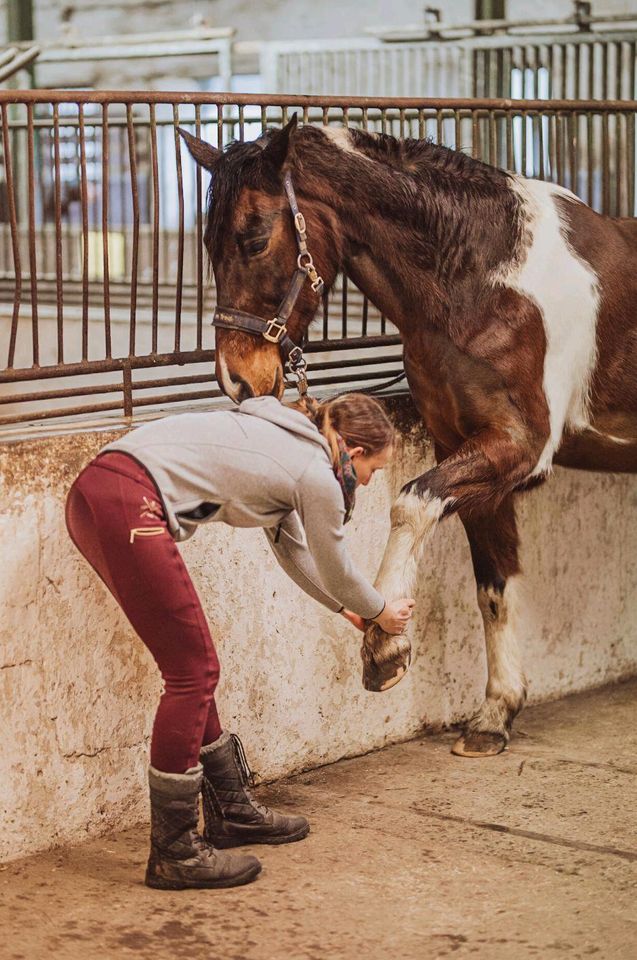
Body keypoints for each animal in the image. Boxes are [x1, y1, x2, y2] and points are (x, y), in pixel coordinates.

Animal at [178, 114, 636, 756]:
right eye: (208, 245)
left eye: (254, 238)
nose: (238, 379)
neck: (483, 280)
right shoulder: (468, 452)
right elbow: (493, 586)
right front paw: (494, 715)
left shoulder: (518, 448)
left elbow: (411, 503)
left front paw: (383, 646)